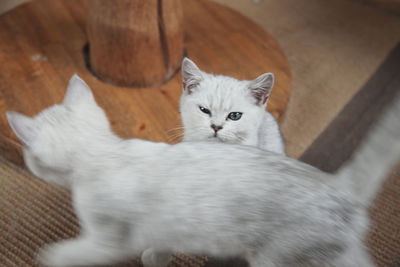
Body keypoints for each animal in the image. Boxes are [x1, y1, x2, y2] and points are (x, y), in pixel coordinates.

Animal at [6, 74, 400, 266]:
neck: (109, 154)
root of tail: (335, 182)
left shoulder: (110, 237)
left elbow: (78, 252)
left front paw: (51, 257)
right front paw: (158, 258)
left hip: (283, 258)